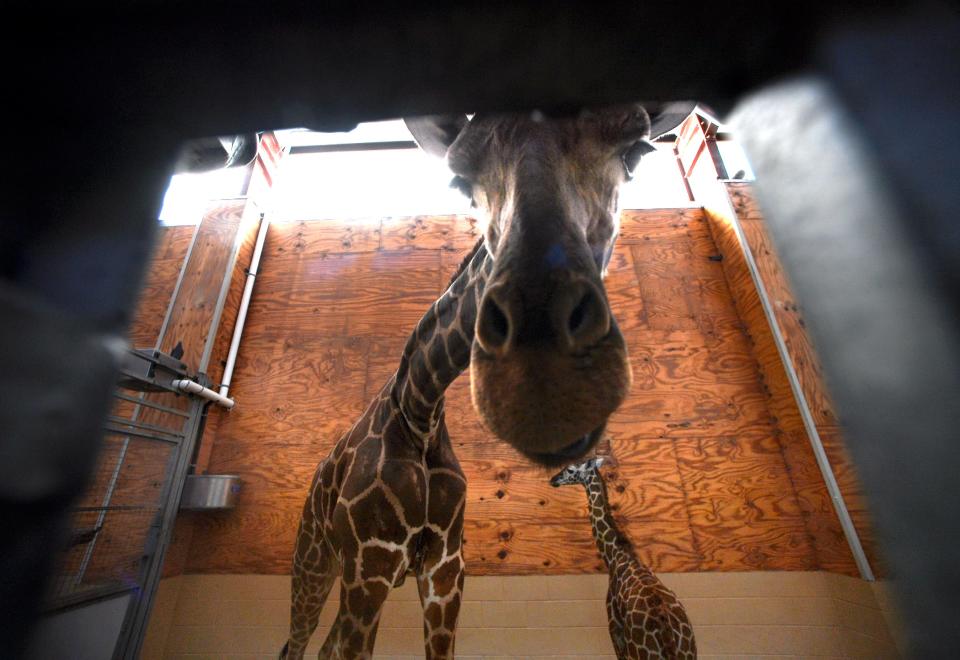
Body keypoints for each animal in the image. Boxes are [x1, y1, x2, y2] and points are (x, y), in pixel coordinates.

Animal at [548, 458, 696, 660]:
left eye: (570, 469)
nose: (553, 480)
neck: (615, 554)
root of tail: (666, 632)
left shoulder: (614, 631)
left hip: (639, 652)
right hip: (688, 652)